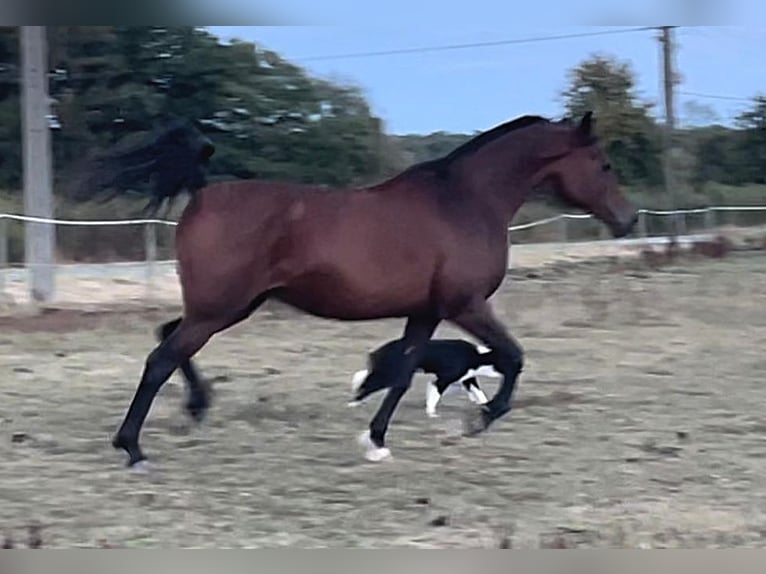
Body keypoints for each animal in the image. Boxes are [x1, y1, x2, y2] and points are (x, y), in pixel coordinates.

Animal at [87, 111, 640, 468]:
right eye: (604, 164)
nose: (628, 220)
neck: (465, 200)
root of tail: (202, 193)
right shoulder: (466, 305)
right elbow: (513, 356)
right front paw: (480, 419)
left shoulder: (427, 312)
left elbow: (402, 372)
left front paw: (376, 440)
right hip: (219, 308)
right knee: (160, 358)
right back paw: (132, 447)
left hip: (228, 305)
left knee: (167, 338)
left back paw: (196, 407)